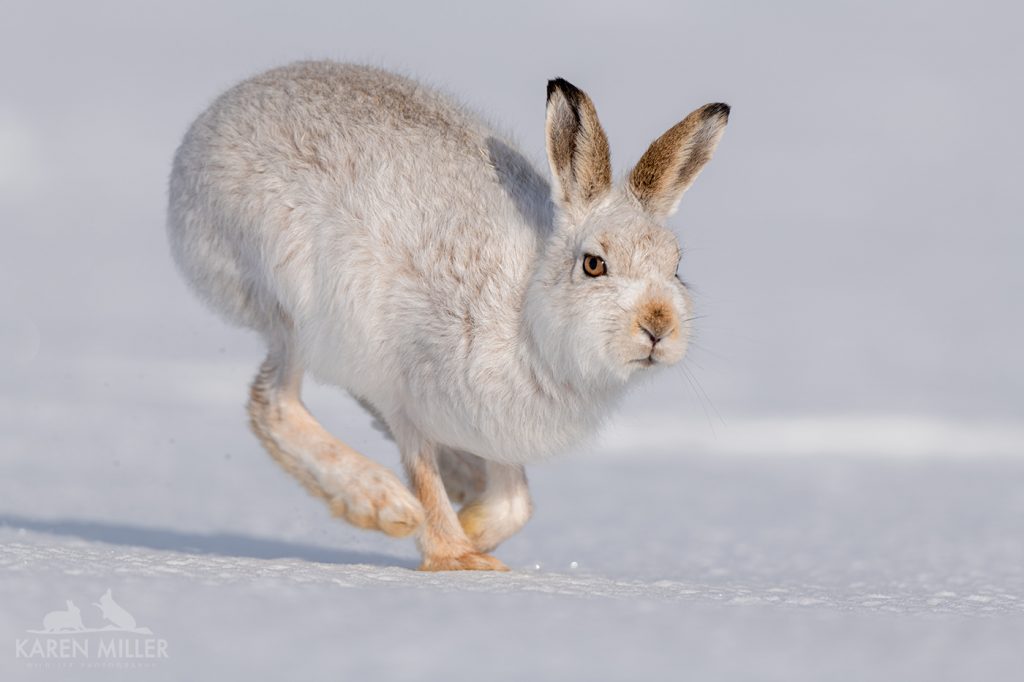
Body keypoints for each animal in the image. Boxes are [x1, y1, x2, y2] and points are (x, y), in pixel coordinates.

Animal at [167, 61, 729, 571]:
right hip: (292, 307)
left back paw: (457, 479)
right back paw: (380, 503)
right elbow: (424, 475)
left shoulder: (495, 424)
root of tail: (206, 131)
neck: (526, 312)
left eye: (676, 267)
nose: (657, 326)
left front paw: (476, 529)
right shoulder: (411, 391)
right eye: (594, 264)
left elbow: (517, 503)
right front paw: (455, 555)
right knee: (272, 403)